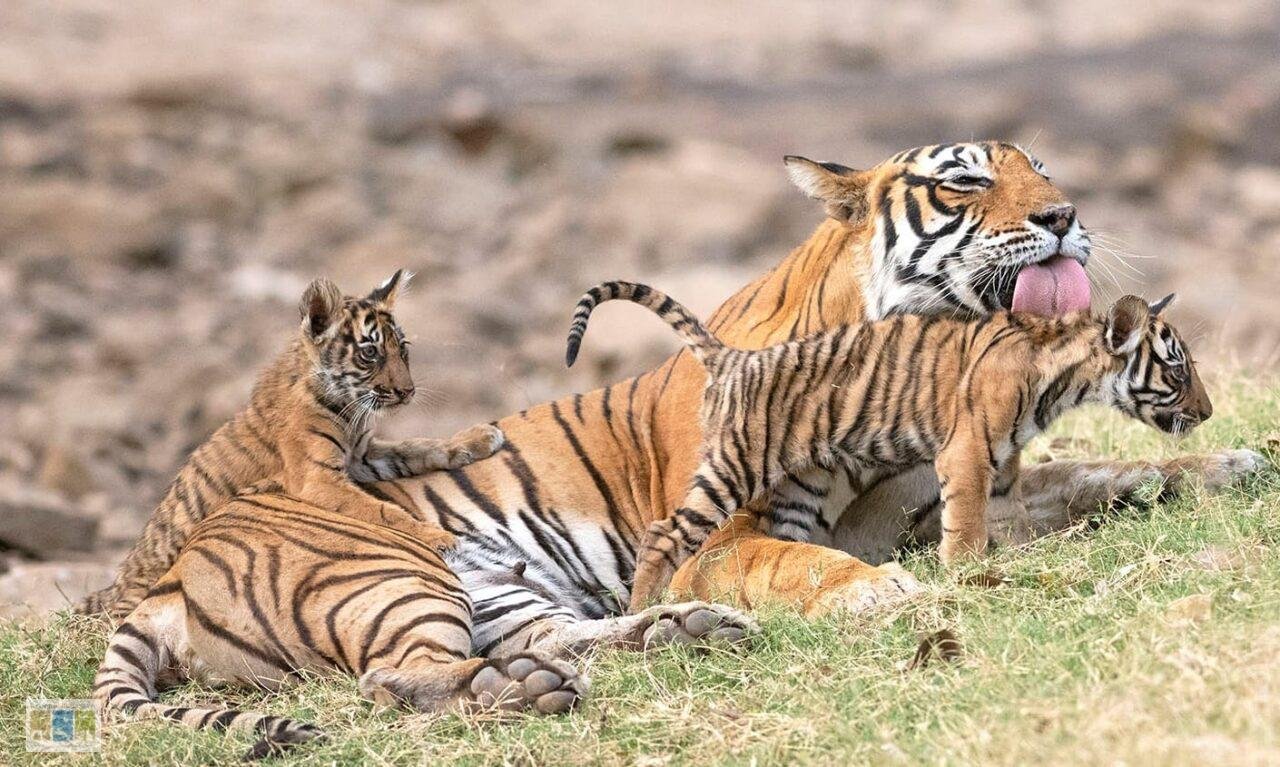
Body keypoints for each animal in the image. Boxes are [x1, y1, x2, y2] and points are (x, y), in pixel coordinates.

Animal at [78, 270, 506, 621]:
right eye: (370, 352)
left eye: (403, 349)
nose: (407, 392)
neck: (348, 409)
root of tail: (114, 589)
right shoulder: (319, 480)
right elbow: (384, 511)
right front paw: (437, 536)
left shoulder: (362, 455)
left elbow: (419, 446)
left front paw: (479, 437)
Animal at [563, 281, 1211, 608]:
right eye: (1178, 369)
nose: (1208, 412)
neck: (1065, 374)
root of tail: (733, 357)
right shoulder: (966, 451)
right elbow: (965, 525)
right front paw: (966, 575)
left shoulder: (1001, 464)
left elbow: (1014, 518)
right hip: (734, 465)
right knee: (662, 533)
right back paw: (644, 611)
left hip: (796, 489)